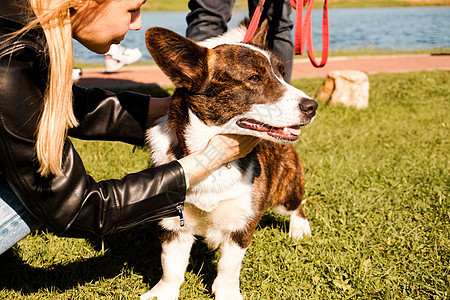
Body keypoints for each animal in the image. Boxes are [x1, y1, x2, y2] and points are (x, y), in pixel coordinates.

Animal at [141, 21, 316, 300]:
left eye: (281, 73)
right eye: (254, 78)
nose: (313, 106)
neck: (212, 159)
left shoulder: (241, 226)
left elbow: (228, 267)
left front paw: (226, 293)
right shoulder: (173, 226)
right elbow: (171, 267)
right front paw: (162, 293)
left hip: (285, 188)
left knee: (296, 205)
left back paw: (299, 229)